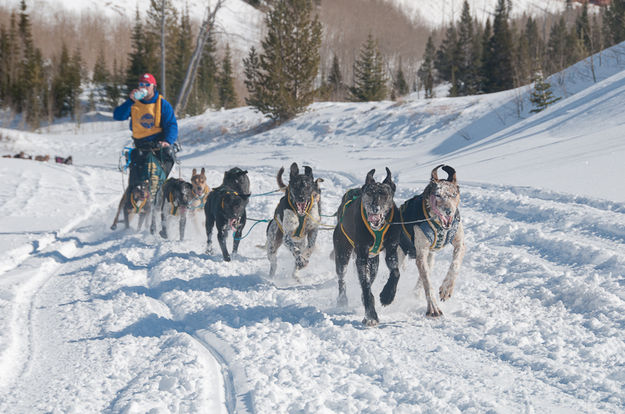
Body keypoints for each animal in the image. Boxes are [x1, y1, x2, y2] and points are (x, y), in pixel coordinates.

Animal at [332, 167, 400, 326]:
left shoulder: (391, 250)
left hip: (374, 262)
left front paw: (387, 295)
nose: (374, 207)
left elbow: (395, 273)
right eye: (369, 193)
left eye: (384, 194)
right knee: (342, 278)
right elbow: (365, 285)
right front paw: (371, 315)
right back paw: (342, 300)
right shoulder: (362, 257)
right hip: (342, 253)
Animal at [392, 165, 466, 316]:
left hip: (430, 259)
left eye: (453, 194)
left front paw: (446, 288)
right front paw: (433, 307)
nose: (448, 211)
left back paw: (416, 295)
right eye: (438, 195)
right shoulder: (421, 253)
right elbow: (427, 283)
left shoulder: (459, 243)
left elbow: (455, 265)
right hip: (400, 255)